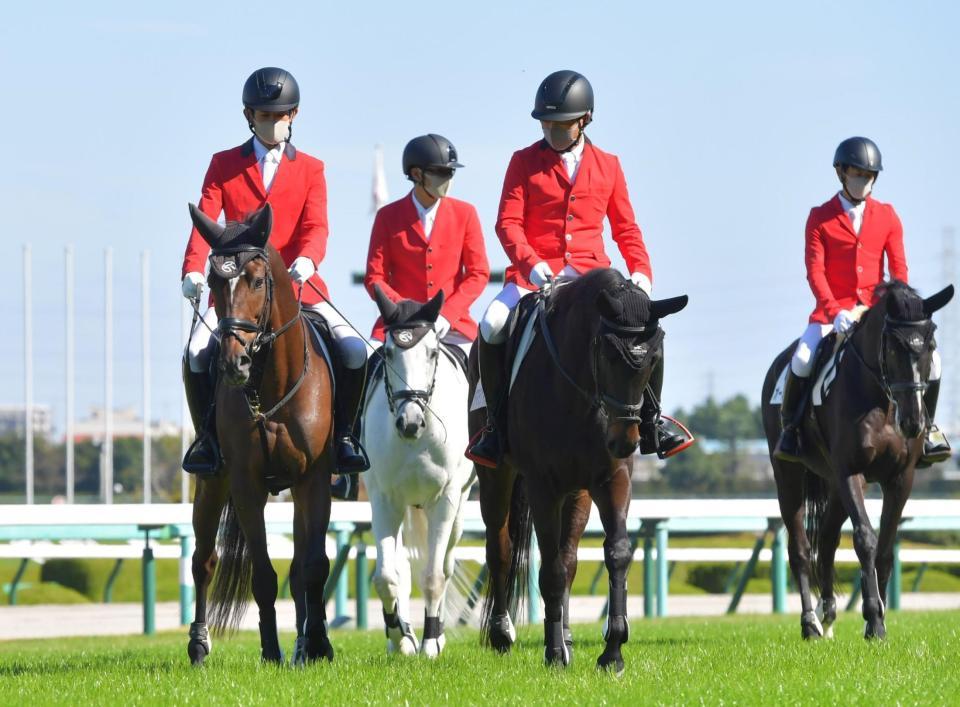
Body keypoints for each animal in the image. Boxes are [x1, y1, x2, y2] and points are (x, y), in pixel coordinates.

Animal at [187, 203, 338, 664]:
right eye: (213, 282)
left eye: (256, 280)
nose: (232, 364)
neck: (272, 383)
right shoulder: (246, 483)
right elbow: (264, 575)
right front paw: (271, 651)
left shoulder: (313, 480)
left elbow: (312, 567)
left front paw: (317, 645)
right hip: (212, 483)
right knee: (203, 560)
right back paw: (199, 645)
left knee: (302, 566)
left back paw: (305, 644)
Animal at [364, 286, 476, 660]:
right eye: (388, 353)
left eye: (432, 353)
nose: (409, 423)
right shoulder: (384, 500)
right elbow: (387, 576)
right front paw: (400, 636)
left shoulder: (445, 500)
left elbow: (433, 577)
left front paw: (429, 643)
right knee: (400, 566)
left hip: (459, 508)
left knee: (445, 565)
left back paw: (435, 635)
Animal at [468, 268, 688, 672]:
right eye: (609, 353)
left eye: (654, 359)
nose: (625, 441)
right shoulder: (543, 487)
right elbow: (550, 569)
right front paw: (554, 654)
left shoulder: (612, 480)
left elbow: (616, 553)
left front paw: (612, 650)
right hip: (496, 478)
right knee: (500, 549)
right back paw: (503, 634)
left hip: (579, 493)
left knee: (569, 559)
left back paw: (566, 635)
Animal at [764, 282, 952, 640]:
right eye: (892, 348)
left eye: (930, 346)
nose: (912, 423)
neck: (883, 401)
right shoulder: (850, 471)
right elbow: (866, 539)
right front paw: (874, 620)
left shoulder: (900, 478)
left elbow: (886, 548)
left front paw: (878, 619)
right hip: (790, 476)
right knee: (800, 548)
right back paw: (810, 624)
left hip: (836, 486)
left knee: (826, 540)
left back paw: (828, 616)